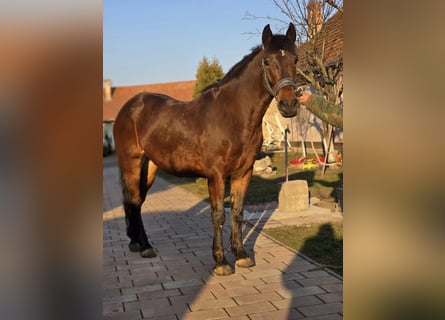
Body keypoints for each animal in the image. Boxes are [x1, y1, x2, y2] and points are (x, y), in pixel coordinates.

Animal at [112, 23, 298, 276]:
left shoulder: (244, 173)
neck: (232, 115)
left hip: (149, 167)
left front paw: (241, 255)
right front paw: (221, 262)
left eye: (296, 59)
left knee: (137, 202)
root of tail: (128, 108)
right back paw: (145, 246)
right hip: (131, 164)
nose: (289, 105)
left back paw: (137, 243)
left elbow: (237, 213)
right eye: (267, 61)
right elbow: (218, 215)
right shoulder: (216, 175)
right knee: (132, 200)